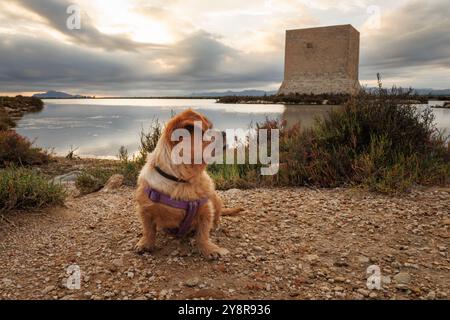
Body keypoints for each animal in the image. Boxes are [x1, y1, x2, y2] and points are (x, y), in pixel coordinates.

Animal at [135, 109, 243, 258]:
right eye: (204, 132)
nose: (225, 133)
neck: (182, 180)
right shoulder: (145, 209)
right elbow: (148, 229)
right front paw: (145, 243)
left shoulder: (206, 210)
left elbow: (203, 233)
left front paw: (208, 249)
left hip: (216, 199)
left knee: (216, 218)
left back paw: (215, 226)